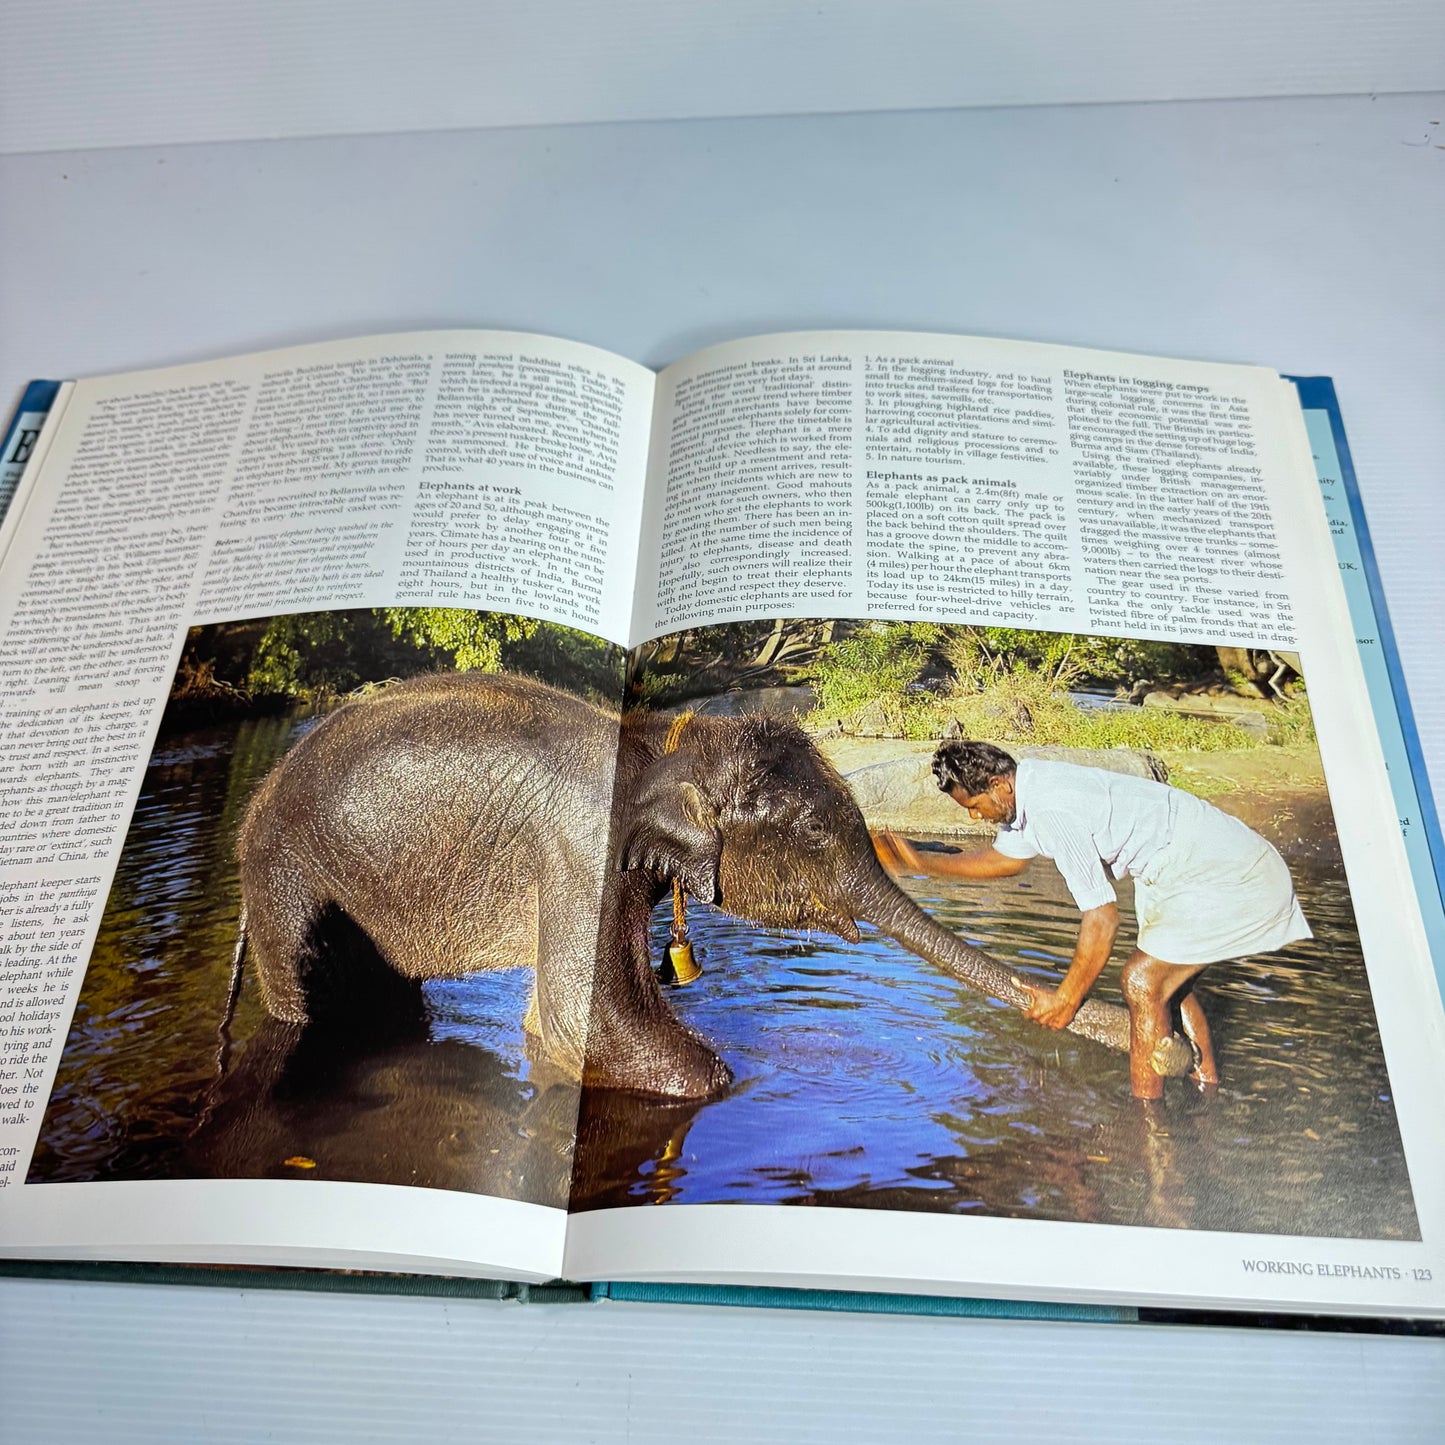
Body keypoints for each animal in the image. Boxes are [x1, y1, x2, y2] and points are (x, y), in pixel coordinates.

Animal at [234, 672, 1182, 1098]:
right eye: (810, 833)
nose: (1169, 1043)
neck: (667, 738)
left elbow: (568, 1024)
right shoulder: (578, 850)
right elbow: (588, 1023)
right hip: (286, 872)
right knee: (307, 999)